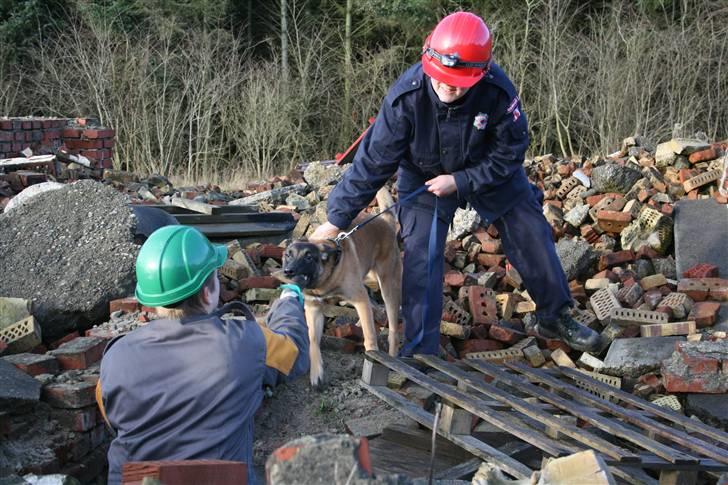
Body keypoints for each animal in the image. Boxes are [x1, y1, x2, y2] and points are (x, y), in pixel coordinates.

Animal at [278, 187, 404, 388]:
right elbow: (313, 339)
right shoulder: (313, 308)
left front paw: (372, 358)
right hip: (369, 277)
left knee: (392, 328)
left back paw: (391, 358)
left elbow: (370, 337)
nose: (288, 271)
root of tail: (386, 222)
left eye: (308, 257)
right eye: (288, 255)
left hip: (388, 287)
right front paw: (316, 373)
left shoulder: (358, 298)